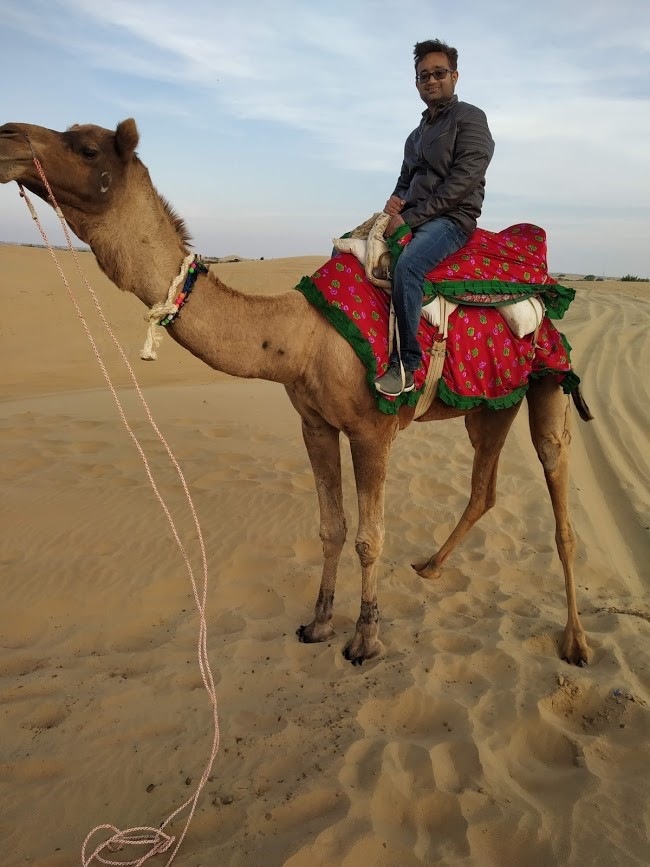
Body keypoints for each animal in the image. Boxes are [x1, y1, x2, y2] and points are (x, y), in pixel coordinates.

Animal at [0, 120, 588, 664]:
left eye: (87, 147)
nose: (7, 135)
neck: (301, 336)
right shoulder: (315, 424)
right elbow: (331, 528)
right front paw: (319, 624)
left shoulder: (373, 431)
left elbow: (370, 537)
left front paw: (365, 640)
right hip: (490, 404)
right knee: (484, 487)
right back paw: (431, 567)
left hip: (548, 379)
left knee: (558, 492)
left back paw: (575, 642)